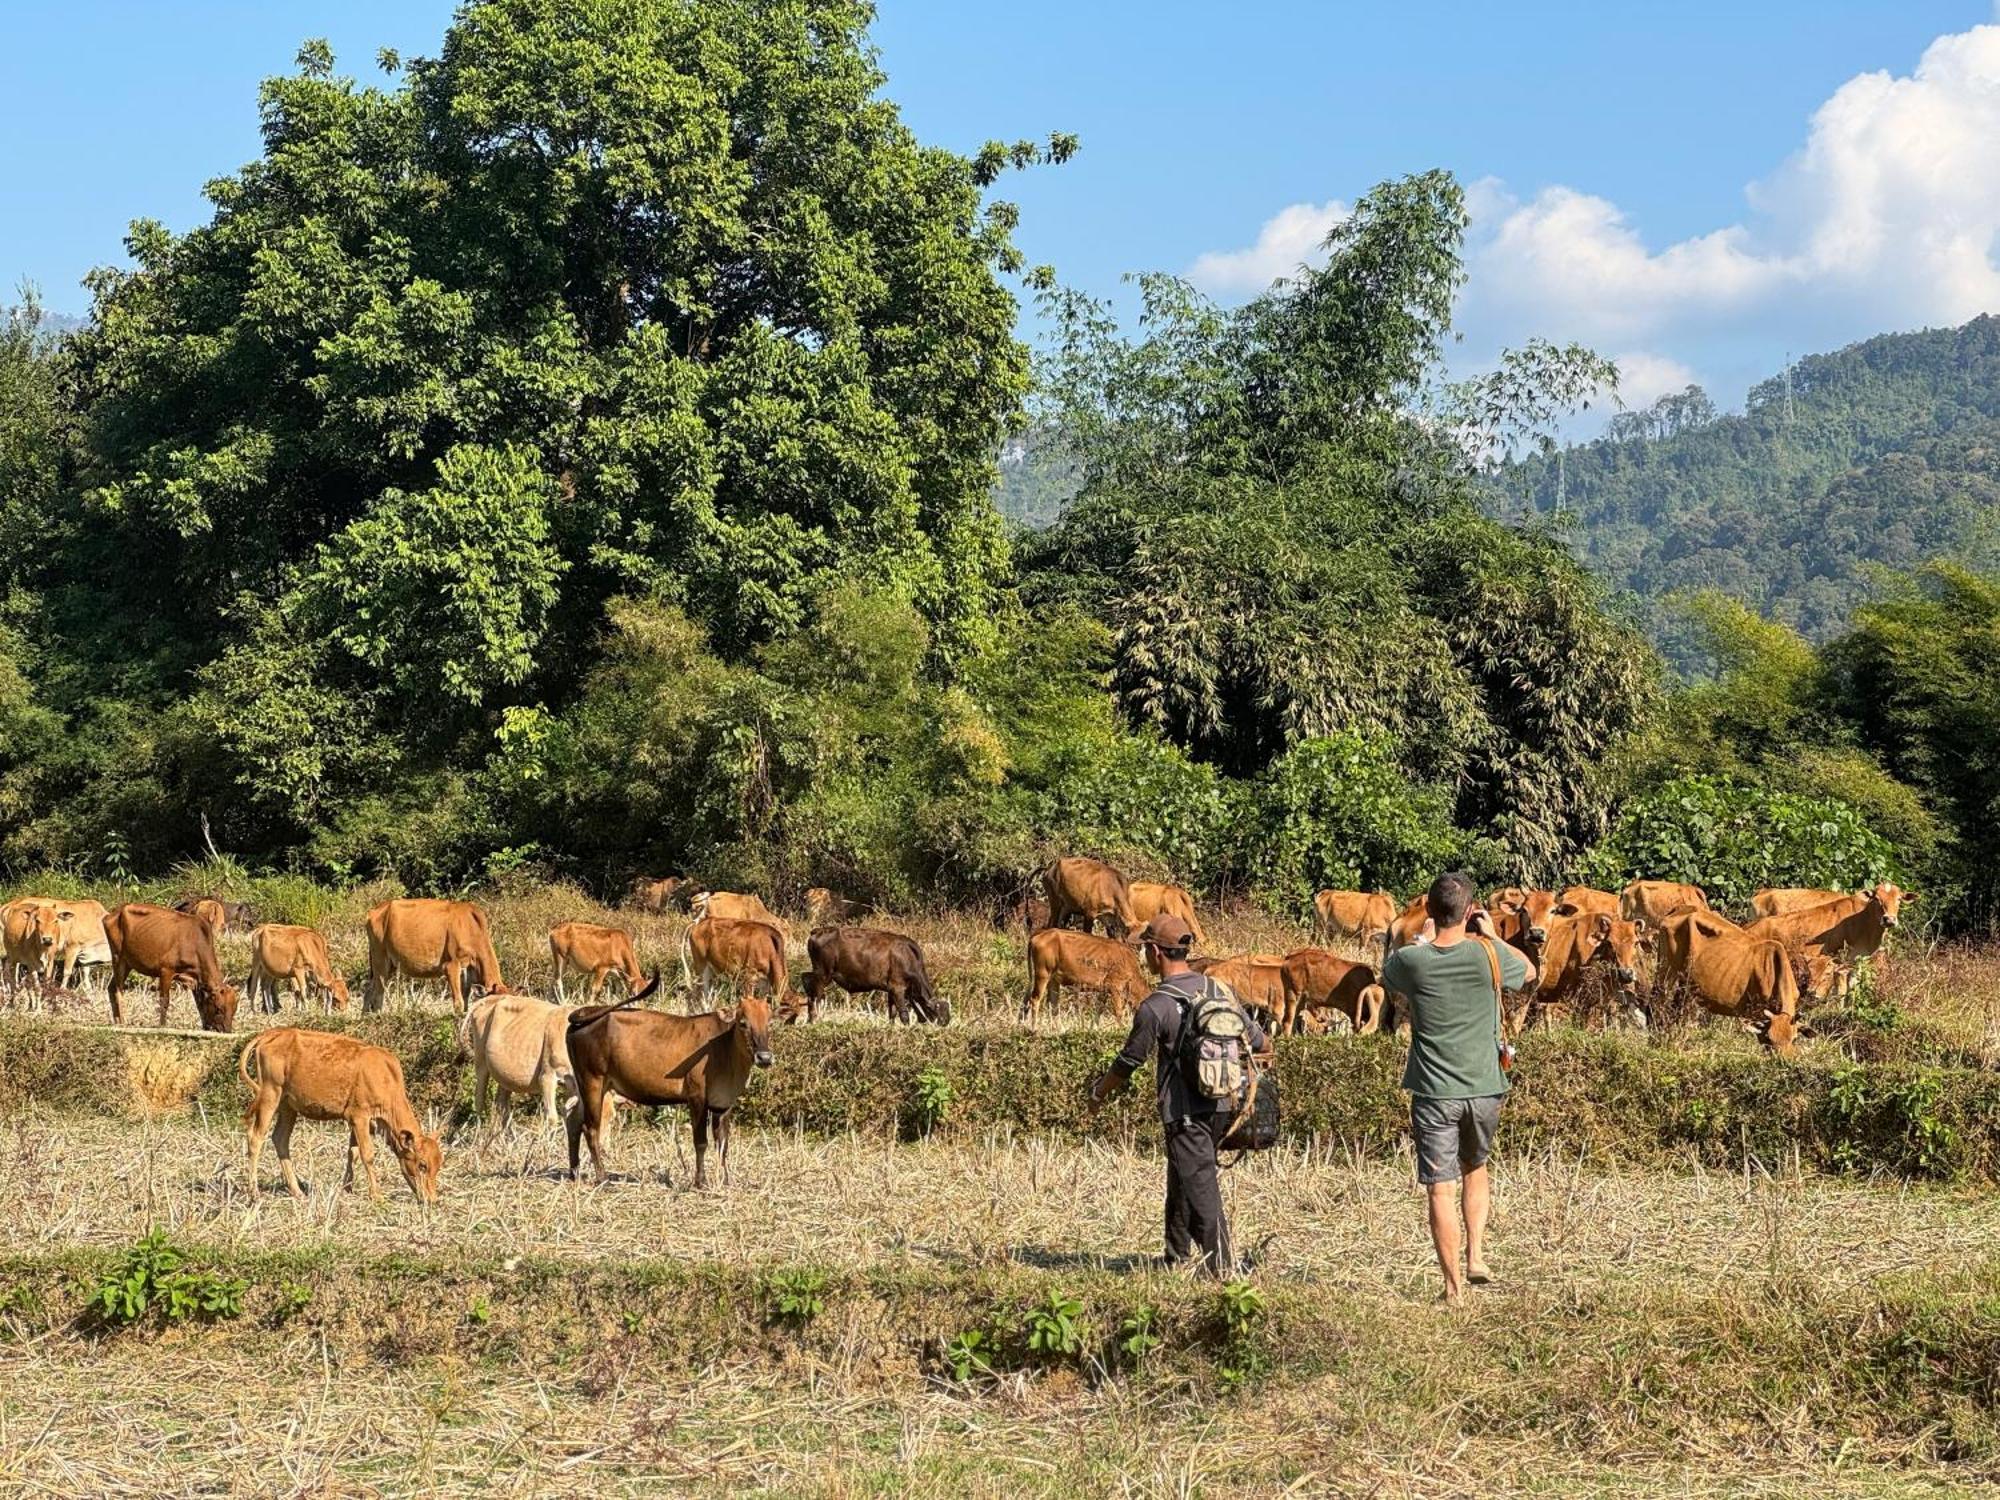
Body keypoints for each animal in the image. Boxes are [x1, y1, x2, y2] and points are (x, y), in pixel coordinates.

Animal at [105, 904, 240, 1032]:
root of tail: (113, 914)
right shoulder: (166, 971)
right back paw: (122, 1022)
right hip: (118, 959)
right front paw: (162, 1025)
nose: (226, 1030)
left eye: (234, 1010)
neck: (195, 943)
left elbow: (199, 1005)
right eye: (219, 1009)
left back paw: (116, 1020)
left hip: (127, 964)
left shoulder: (194, 981)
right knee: (118, 990)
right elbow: (164, 1000)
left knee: (111, 988)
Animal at [238, 1032, 442, 1208]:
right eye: (422, 1165)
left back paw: (297, 1191)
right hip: (270, 1095)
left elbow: (353, 1153)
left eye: (439, 1165)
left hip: (288, 1105)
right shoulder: (360, 1116)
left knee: (280, 1139)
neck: (385, 1077)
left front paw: (347, 1188)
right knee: (255, 1137)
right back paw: (254, 1193)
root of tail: (274, 1032)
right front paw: (376, 1195)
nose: (432, 1200)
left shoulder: (361, 1121)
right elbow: (368, 1154)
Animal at [366, 900, 508, 1016]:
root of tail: (375, 910)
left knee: (369, 992)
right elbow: (458, 1003)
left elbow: (466, 1003)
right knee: (377, 996)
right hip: (380, 960)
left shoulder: (468, 973)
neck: (472, 928)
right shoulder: (451, 966)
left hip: (389, 965)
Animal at [800, 928, 948, 1032]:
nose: (945, 1024)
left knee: (805, 978)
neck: (907, 956)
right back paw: (814, 1017)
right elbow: (903, 1014)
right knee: (814, 990)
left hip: (820, 973)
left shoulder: (891, 991)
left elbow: (892, 1013)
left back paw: (809, 1018)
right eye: (937, 1013)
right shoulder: (898, 988)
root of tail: (818, 931)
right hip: (824, 974)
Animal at [1024, 936, 1152, 1032]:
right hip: (1042, 974)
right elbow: (1118, 1012)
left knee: (1054, 1004)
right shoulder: (1115, 986)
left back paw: (1060, 1030)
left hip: (1053, 980)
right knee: (1035, 999)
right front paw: (1121, 1029)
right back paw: (1034, 1029)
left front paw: (1093, 1029)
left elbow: (1098, 1011)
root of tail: (1037, 936)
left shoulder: (1104, 990)